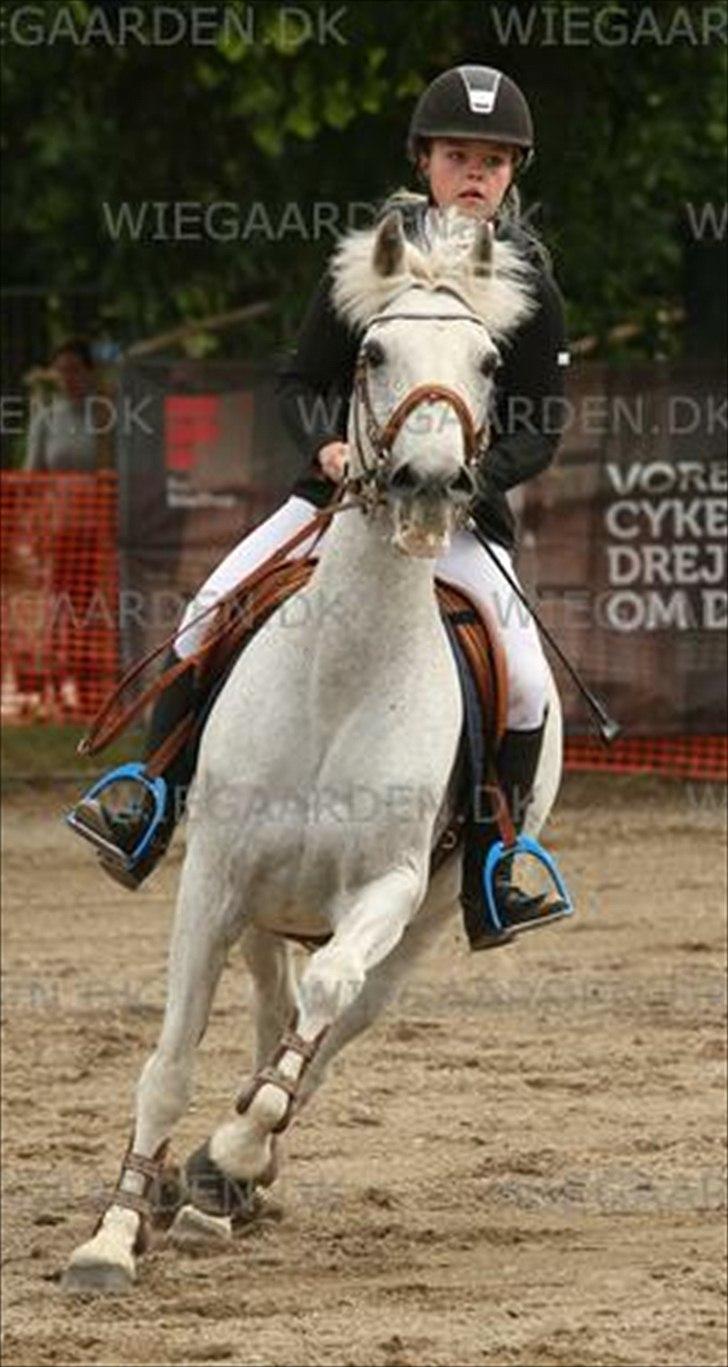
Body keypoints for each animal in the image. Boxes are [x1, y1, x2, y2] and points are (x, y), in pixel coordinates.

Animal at [63, 210, 562, 1290]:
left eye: (488, 361)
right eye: (371, 351)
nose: (428, 486)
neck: (342, 680)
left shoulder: (390, 888)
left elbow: (322, 1009)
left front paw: (232, 1151)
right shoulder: (213, 876)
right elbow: (168, 1066)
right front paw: (111, 1235)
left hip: (418, 926)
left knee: (331, 1021)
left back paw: (226, 1177)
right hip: (259, 901)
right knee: (268, 1000)